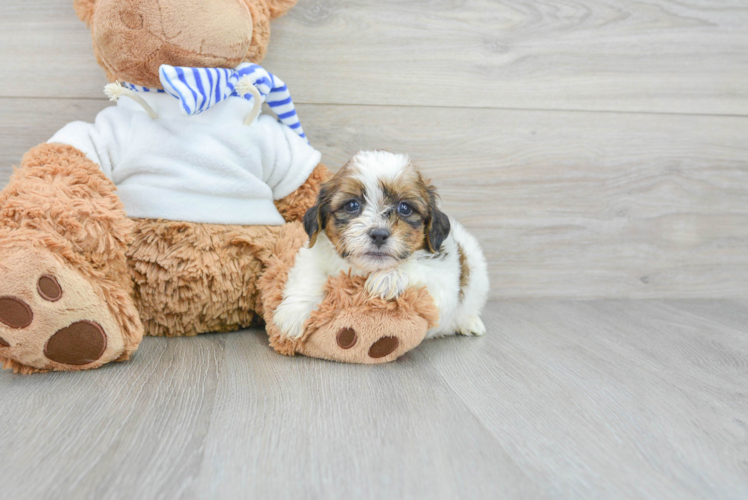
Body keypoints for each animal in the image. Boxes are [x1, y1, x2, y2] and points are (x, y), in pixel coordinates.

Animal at [272, 150, 488, 342]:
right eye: (352, 205)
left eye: (404, 208)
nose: (379, 234)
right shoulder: (312, 254)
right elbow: (309, 274)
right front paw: (294, 313)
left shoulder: (443, 281)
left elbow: (421, 269)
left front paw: (389, 277)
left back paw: (470, 322)